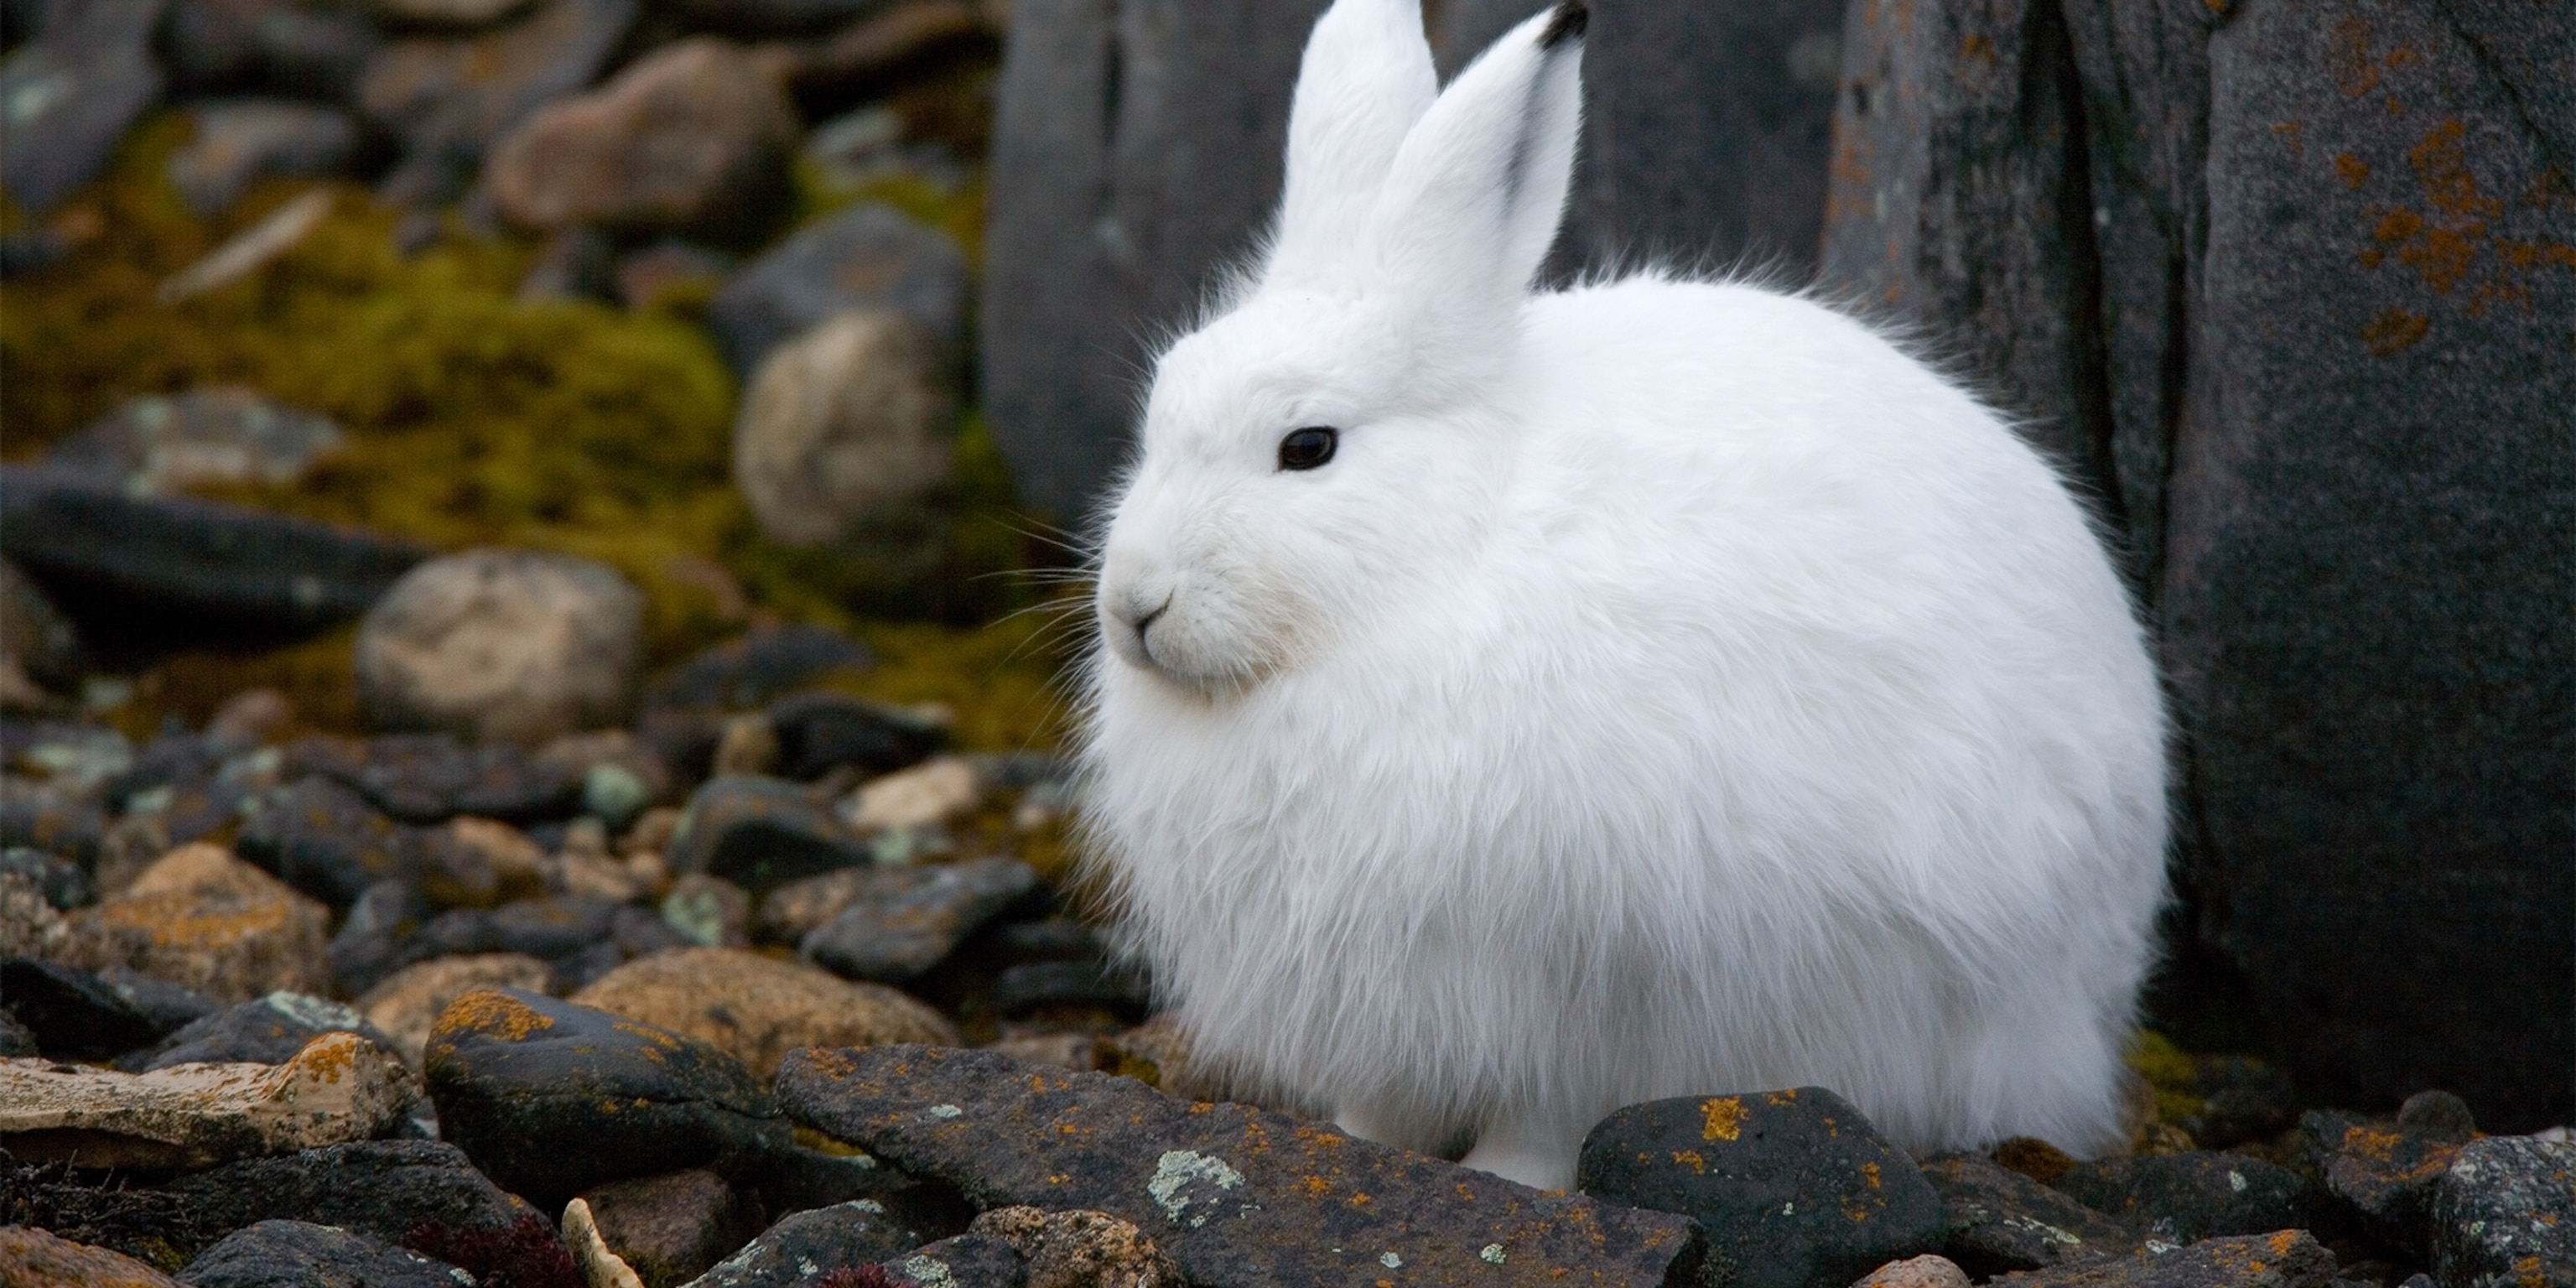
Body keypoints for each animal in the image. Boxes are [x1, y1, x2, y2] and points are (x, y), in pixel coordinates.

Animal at [1079, 0, 2169, 1192]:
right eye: (1164, 399)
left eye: (1307, 447)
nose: (1135, 606)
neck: (1434, 567)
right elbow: (1388, 1103)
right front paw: (1356, 1145)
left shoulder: (1592, 986)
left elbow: (1550, 1116)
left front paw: (1507, 1182)